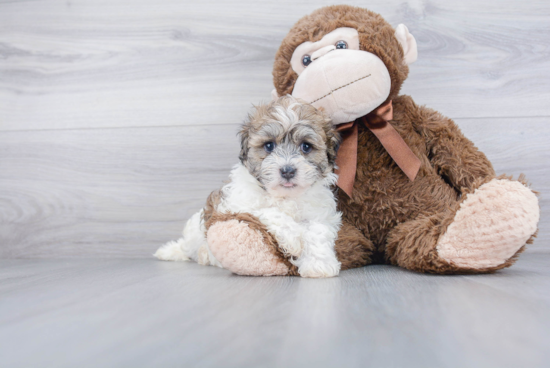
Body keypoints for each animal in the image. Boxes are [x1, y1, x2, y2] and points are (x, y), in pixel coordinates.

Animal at [155, 96, 342, 278]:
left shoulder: (319, 213)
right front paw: (294, 239)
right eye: (269, 146)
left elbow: (317, 231)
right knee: (188, 246)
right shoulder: (235, 206)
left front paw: (319, 265)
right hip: (195, 231)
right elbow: (270, 211)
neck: (284, 196)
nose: (287, 171)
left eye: (306, 146)